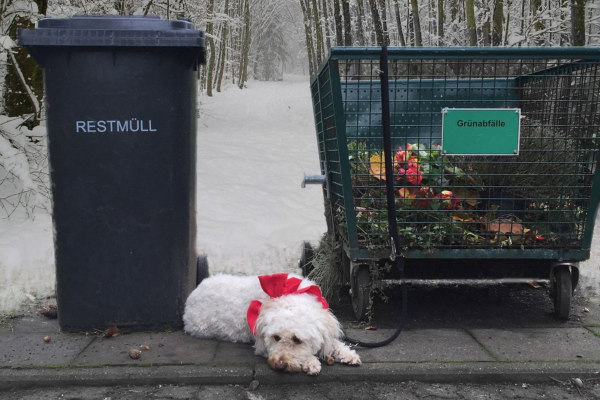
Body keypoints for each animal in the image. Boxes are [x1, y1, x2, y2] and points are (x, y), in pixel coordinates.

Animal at [183, 272, 360, 376]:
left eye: (297, 340)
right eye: (276, 337)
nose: (279, 365)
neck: (290, 294)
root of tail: (193, 292)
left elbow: (334, 343)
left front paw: (348, 354)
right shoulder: (261, 344)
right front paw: (310, 362)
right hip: (203, 328)